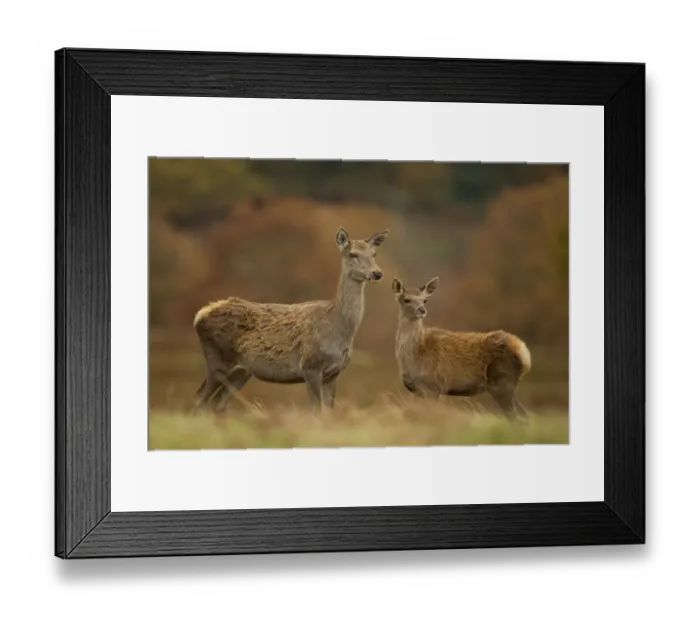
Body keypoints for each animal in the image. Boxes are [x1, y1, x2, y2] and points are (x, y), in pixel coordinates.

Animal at [191, 228, 389, 414]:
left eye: (374, 253)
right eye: (353, 254)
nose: (377, 273)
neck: (337, 325)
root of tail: (199, 315)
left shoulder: (334, 373)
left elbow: (328, 413)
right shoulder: (311, 366)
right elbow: (316, 412)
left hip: (241, 371)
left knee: (219, 404)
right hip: (217, 359)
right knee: (199, 399)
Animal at [391, 276, 531, 420]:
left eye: (425, 300)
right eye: (407, 299)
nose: (421, 310)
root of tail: (524, 352)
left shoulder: (433, 386)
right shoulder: (417, 390)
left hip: (501, 381)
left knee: (518, 416)